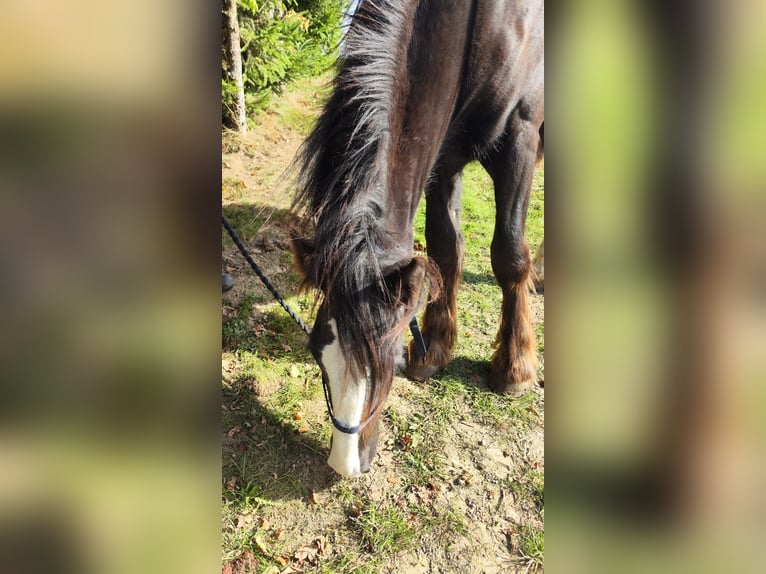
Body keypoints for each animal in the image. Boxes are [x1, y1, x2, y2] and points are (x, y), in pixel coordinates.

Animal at [292, 0, 544, 477]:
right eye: (317, 352)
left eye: (391, 358)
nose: (344, 466)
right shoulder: (444, 153)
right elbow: (444, 248)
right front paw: (436, 349)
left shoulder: (520, 137)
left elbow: (509, 254)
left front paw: (515, 370)